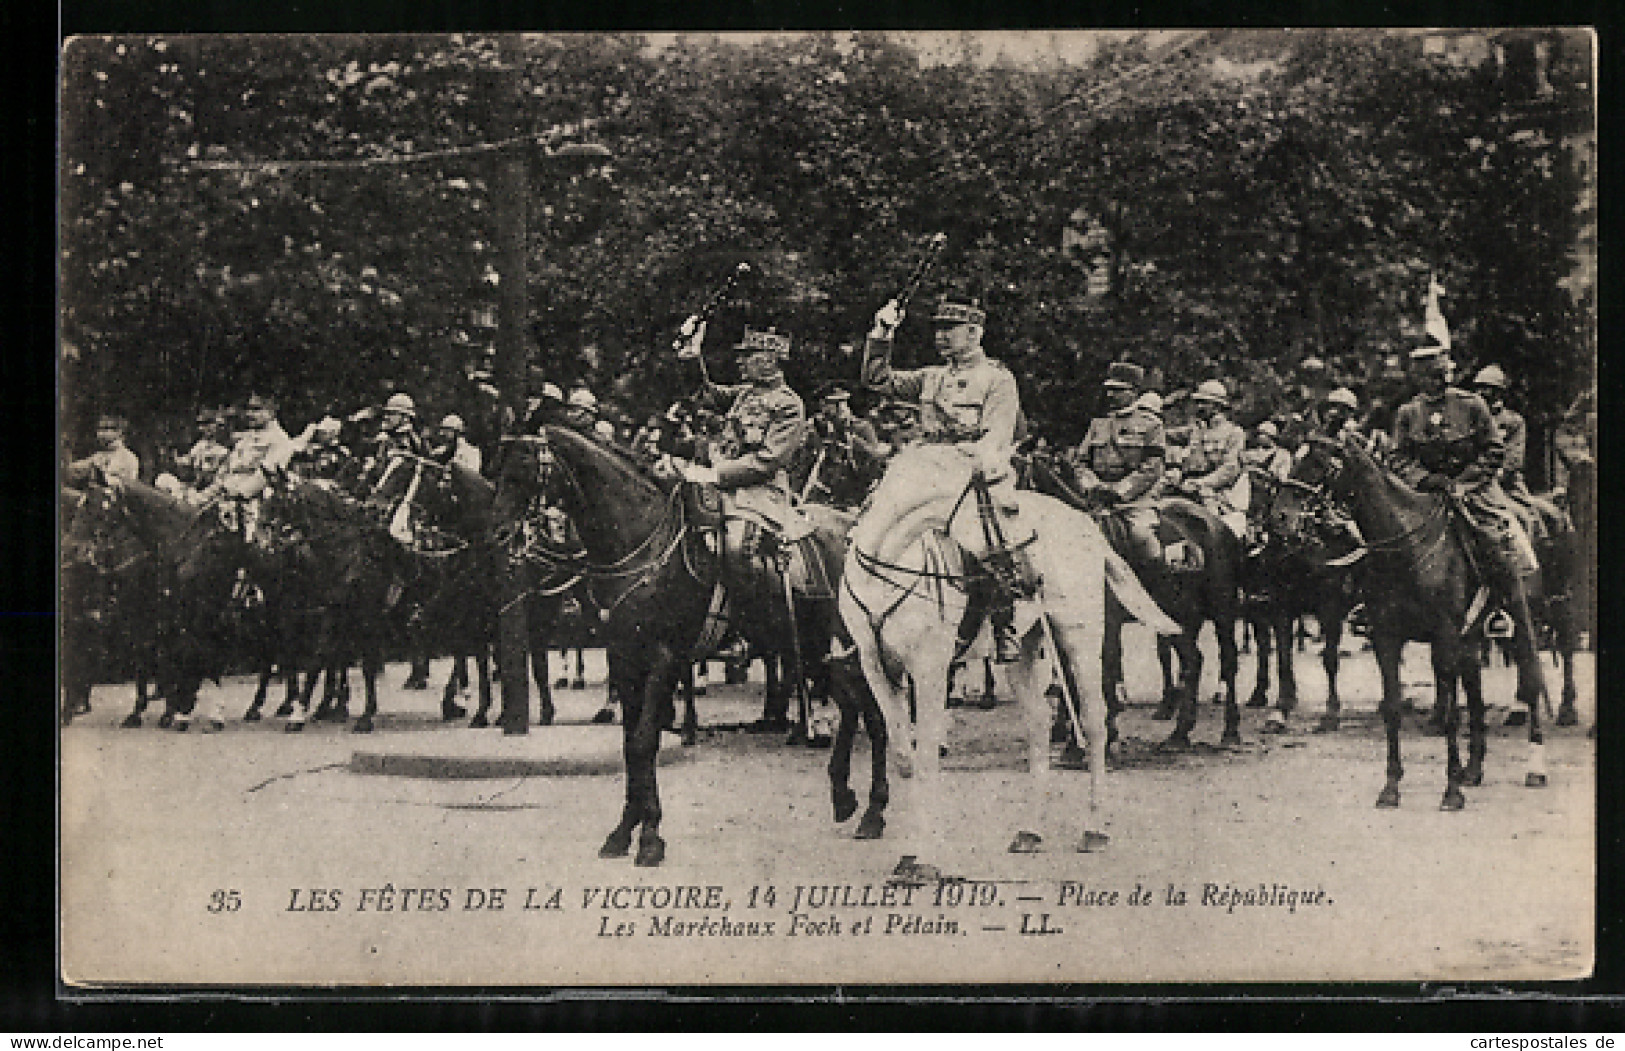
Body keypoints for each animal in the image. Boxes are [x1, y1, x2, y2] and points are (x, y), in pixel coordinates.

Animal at [838, 445, 1183, 877]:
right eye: (1009, 508)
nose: (1032, 580)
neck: (888, 564)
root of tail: (1086, 523)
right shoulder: (876, 668)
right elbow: (904, 758)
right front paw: (909, 849)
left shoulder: (929, 669)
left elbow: (927, 755)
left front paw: (925, 856)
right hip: (1024, 649)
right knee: (1038, 725)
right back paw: (1030, 831)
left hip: (1079, 639)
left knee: (1094, 723)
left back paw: (1094, 828)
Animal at [1274, 432, 1553, 808]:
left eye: (1318, 464)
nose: (1280, 517)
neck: (1406, 548)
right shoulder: (1386, 637)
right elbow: (1393, 707)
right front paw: (1392, 786)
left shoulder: (1444, 637)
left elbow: (1449, 712)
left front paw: (1451, 790)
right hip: (1471, 637)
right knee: (1476, 693)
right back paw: (1474, 769)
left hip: (1520, 621)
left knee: (1531, 678)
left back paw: (1535, 768)